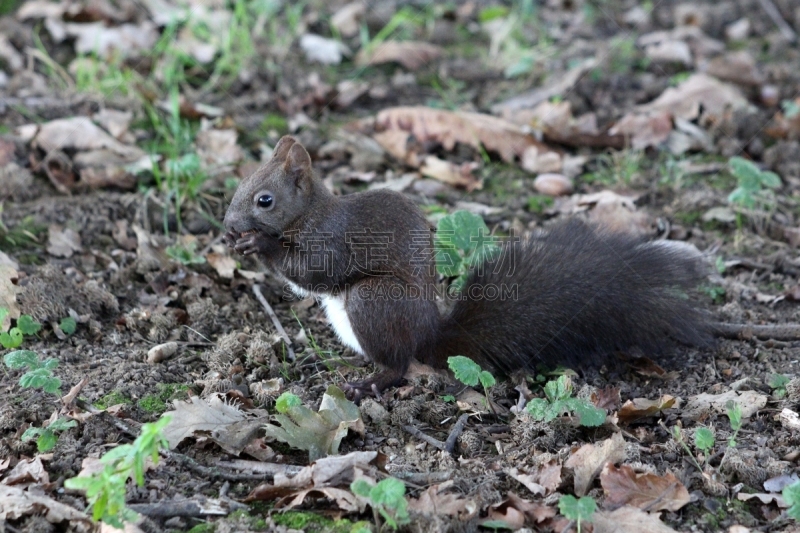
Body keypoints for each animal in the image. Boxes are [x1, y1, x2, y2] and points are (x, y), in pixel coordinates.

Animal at [220, 135, 712, 396]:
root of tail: (428, 337)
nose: (227, 225)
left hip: (374, 301)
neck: (310, 213)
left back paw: (369, 382)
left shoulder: (333, 241)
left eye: (265, 200)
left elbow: (314, 271)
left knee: (398, 365)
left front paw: (259, 244)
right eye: (240, 185)